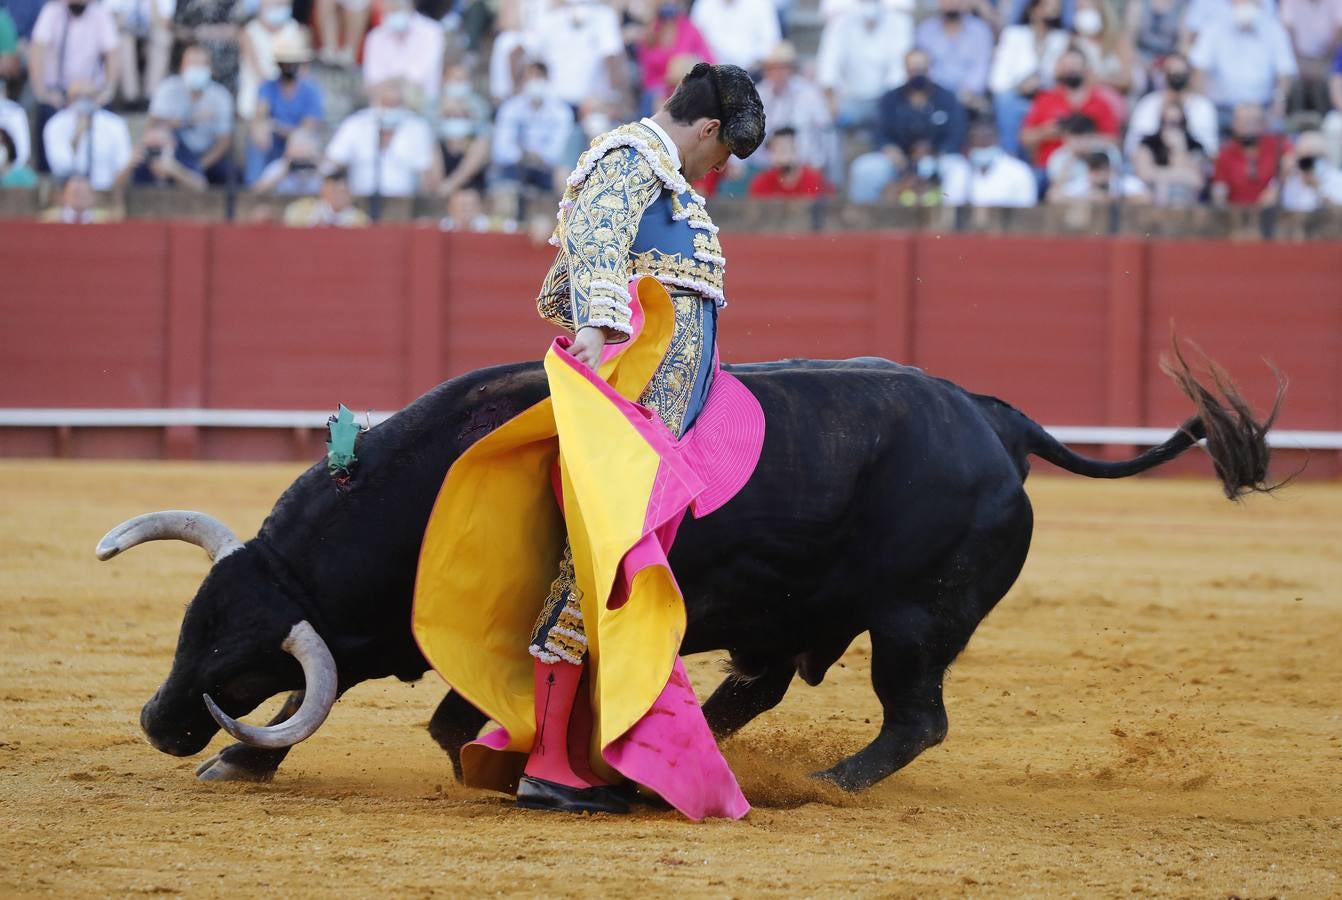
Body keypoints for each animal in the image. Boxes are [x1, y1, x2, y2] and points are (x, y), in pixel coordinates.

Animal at [118, 351, 1277, 788]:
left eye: (235, 660)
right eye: (191, 626)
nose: (159, 721)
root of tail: (995, 418)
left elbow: (450, 716)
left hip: (916, 622)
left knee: (916, 718)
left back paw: (828, 782)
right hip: (805, 617)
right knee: (758, 688)